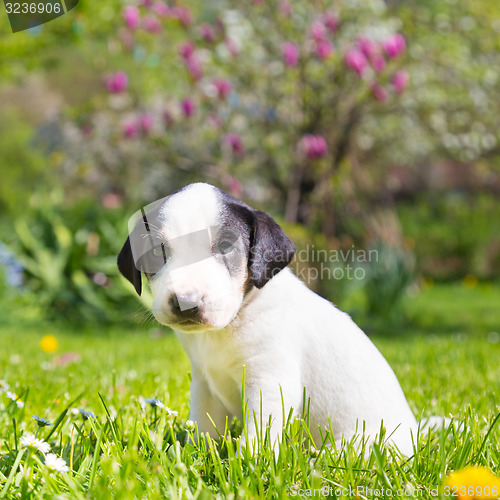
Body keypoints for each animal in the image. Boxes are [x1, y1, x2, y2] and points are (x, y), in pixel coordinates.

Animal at [118, 183, 422, 454]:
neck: (233, 322)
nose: (186, 302)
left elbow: (259, 432)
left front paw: (248, 464)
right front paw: (194, 454)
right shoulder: (204, 384)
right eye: (157, 251)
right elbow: (204, 426)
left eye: (225, 246)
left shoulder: (270, 381)